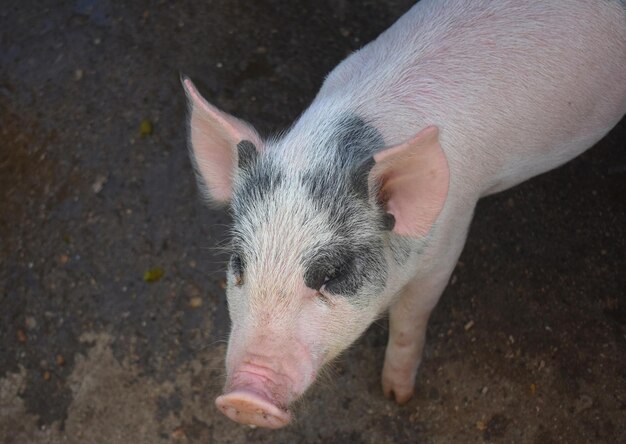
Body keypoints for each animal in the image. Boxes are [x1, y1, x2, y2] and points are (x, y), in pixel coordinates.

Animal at [182, 0, 624, 430]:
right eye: (239, 264)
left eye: (333, 275)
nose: (243, 399)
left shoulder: (448, 238)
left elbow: (411, 318)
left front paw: (397, 396)